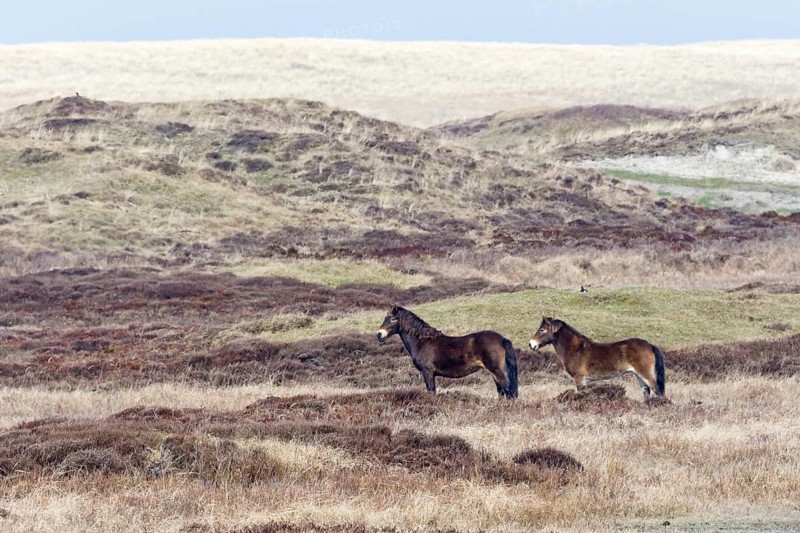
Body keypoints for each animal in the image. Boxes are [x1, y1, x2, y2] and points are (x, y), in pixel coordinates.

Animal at [376, 305, 518, 398]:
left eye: (393, 319)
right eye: (385, 317)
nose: (379, 334)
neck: (422, 341)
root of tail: (502, 339)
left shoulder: (428, 372)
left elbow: (431, 391)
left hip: (497, 371)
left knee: (507, 390)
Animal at [529, 317, 665, 399]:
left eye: (542, 330)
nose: (531, 344)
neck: (576, 349)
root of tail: (650, 345)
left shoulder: (580, 379)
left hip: (646, 374)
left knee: (658, 391)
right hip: (638, 375)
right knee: (646, 392)